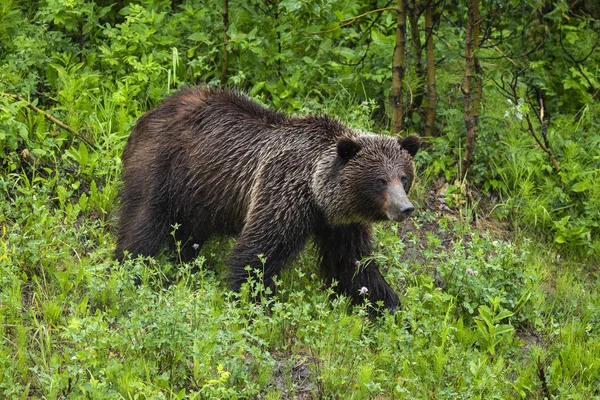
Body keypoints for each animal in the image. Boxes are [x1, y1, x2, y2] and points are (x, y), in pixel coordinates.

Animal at [115, 87, 420, 312]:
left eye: (404, 177)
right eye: (380, 180)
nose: (405, 208)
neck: (317, 193)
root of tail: (153, 109)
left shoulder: (341, 224)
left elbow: (352, 263)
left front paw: (388, 305)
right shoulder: (283, 191)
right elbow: (258, 253)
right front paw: (256, 302)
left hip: (202, 192)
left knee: (188, 234)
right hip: (164, 167)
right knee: (144, 220)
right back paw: (131, 269)